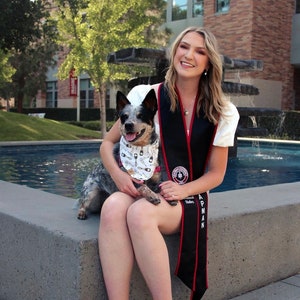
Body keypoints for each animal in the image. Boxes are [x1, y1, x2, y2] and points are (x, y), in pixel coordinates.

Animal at [76, 86, 176, 220]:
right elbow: (142, 186)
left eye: (141, 115)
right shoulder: (130, 179)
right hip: (91, 192)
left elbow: (161, 186)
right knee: (82, 202)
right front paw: (152, 195)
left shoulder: (155, 179)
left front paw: (168, 196)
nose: (128, 125)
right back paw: (81, 212)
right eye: (124, 116)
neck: (140, 149)